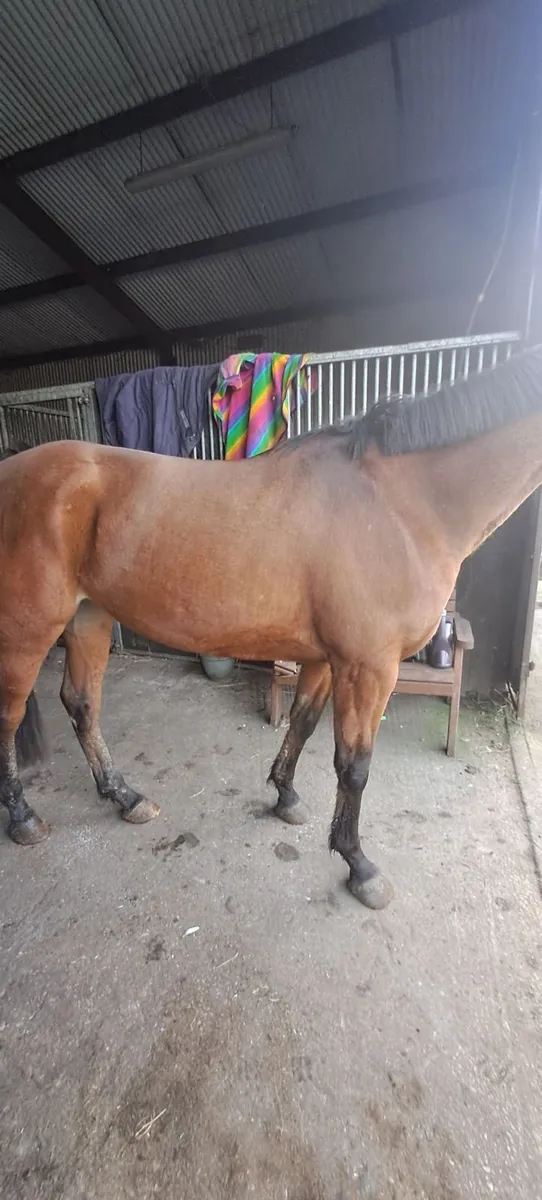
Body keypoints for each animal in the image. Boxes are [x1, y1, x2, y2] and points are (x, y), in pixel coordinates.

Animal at [1, 346, 542, 910]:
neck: (399, 502)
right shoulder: (369, 667)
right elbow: (354, 765)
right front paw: (359, 865)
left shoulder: (327, 658)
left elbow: (302, 724)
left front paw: (286, 795)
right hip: (28, 628)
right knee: (10, 716)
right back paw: (24, 818)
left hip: (89, 616)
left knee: (82, 704)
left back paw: (125, 797)